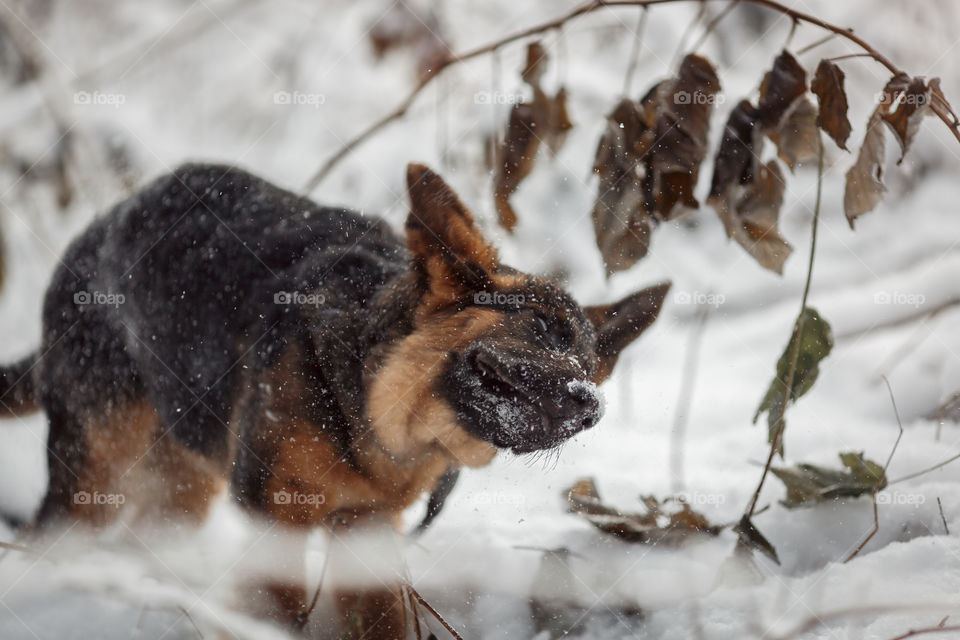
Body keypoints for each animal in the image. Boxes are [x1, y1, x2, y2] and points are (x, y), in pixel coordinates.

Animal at [0, 164, 672, 636]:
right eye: (539, 329)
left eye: (589, 359)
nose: (591, 405)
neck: (379, 414)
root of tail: (92, 233)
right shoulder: (277, 522)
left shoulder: (366, 536)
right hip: (94, 478)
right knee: (49, 537)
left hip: (181, 487)